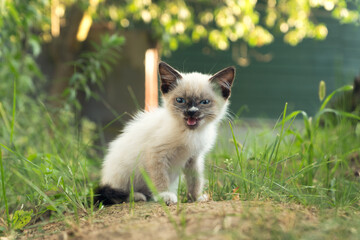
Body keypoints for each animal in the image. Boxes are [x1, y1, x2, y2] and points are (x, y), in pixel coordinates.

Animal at [94, 61, 235, 204]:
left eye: (204, 102)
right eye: (180, 100)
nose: (191, 112)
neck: (190, 134)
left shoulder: (193, 158)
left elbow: (195, 180)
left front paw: (195, 198)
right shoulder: (156, 154)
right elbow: (160, 177)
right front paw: (165, 196)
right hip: (122, 176)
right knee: (111, 193)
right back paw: (137, 196)